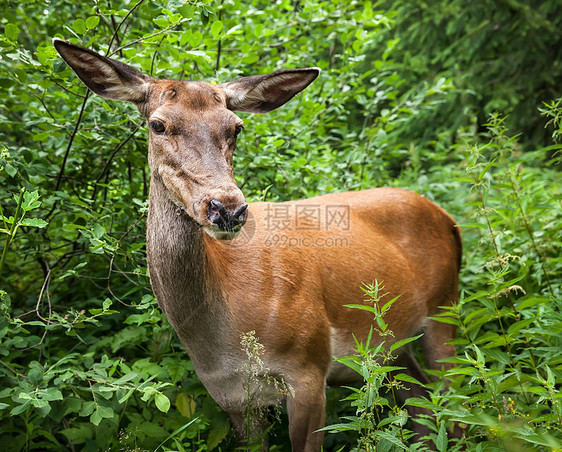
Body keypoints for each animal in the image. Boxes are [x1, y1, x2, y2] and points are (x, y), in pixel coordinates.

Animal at [54, 38, 462, 452]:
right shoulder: (231, 396)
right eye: (158, 124)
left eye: (236, 127)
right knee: (421, 401)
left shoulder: (310, 368)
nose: (227, 209)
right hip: (394, 345)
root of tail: (448, 218)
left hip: (445, 308)